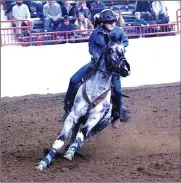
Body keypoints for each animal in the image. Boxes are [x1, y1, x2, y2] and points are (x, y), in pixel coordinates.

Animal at [34, 38, 130, 170]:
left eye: (124, 50)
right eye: (110, 50)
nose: (125, 70)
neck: (95, 89)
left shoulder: (94, 119)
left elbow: (81, 135)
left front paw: (69, 154)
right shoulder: (73, 116)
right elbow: (60, 140)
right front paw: (43, 163)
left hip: (99, 126)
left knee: (83, 138)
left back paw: (72, 150)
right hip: (78, 121)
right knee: (73, 136)